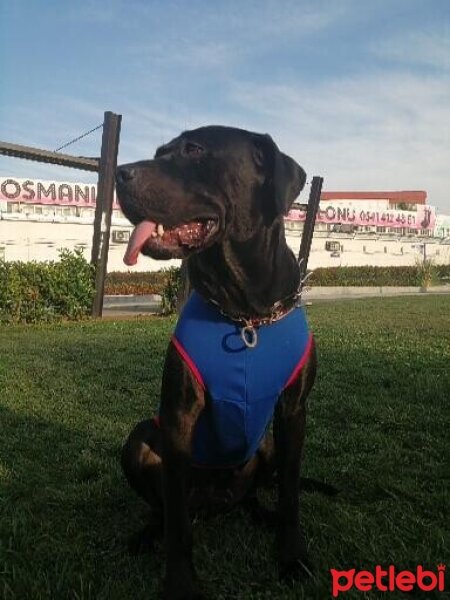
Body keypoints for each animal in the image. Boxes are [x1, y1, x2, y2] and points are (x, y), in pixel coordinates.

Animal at [117, 124, 320, 596]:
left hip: (264, 446)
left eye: (194, 150)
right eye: (160, 152)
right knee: (167, 510)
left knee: (256, 492)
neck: (245, 313)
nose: (120, 174)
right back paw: (147, 533)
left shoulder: (293, 412)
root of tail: (215, 505)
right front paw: (180, 584)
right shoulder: (178, 417)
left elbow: (291, 493)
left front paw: (291, 555)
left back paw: (261, 514)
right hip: (140, 437)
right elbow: (178, 526)